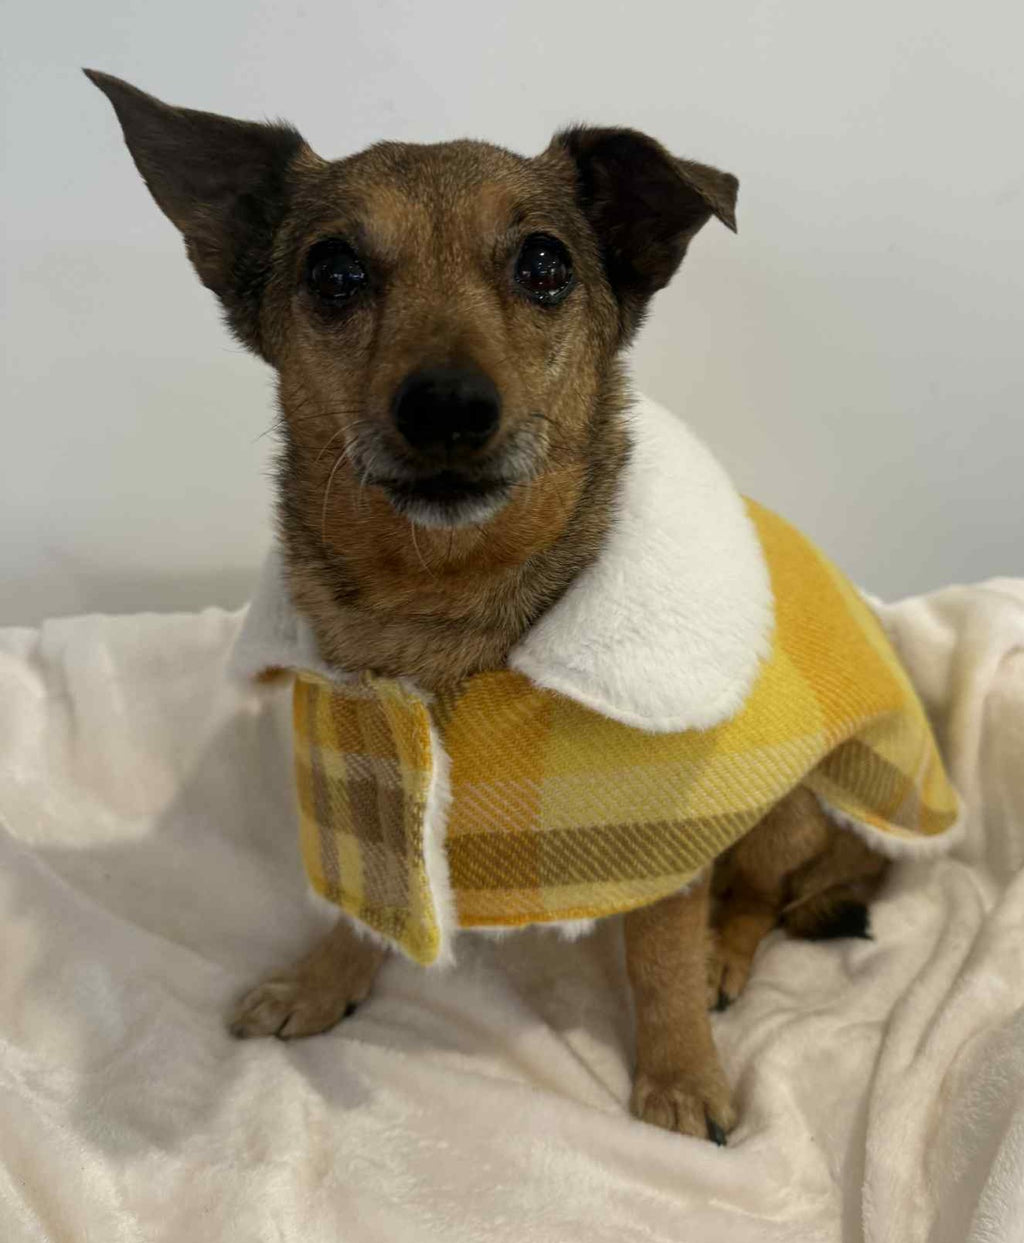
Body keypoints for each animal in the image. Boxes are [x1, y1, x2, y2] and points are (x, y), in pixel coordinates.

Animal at [88, 71, 944, 1145]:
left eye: (545, 264)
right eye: (334, 273)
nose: (448, 406)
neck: (446, 612)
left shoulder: (666, 839)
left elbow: (659, 958)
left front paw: (680, 1075)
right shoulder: (367, 788)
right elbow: (363, 903)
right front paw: (322, 980)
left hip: (790, 812)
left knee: (758, 893)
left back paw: (724, 952)